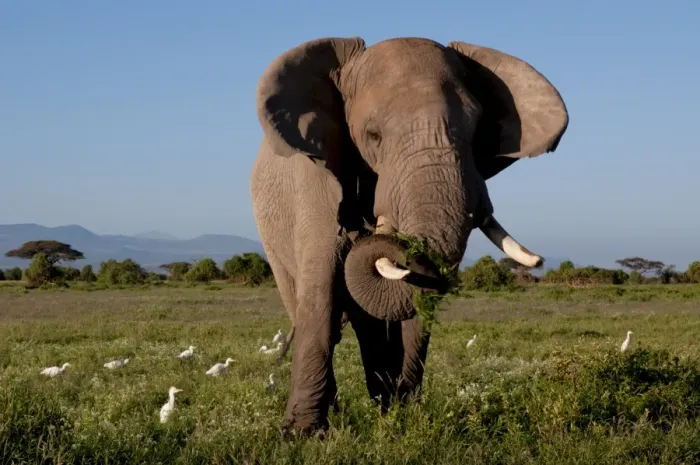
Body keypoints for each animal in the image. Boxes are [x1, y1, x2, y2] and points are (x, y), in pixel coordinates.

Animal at [250, 36, 568, 433]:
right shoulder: (316, 181)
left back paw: (381, 404)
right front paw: (305, 435)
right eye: (373, 136)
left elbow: (413, 302)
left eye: (475, 134)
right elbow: (322, 289)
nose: (369, 231)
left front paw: (403, 421)